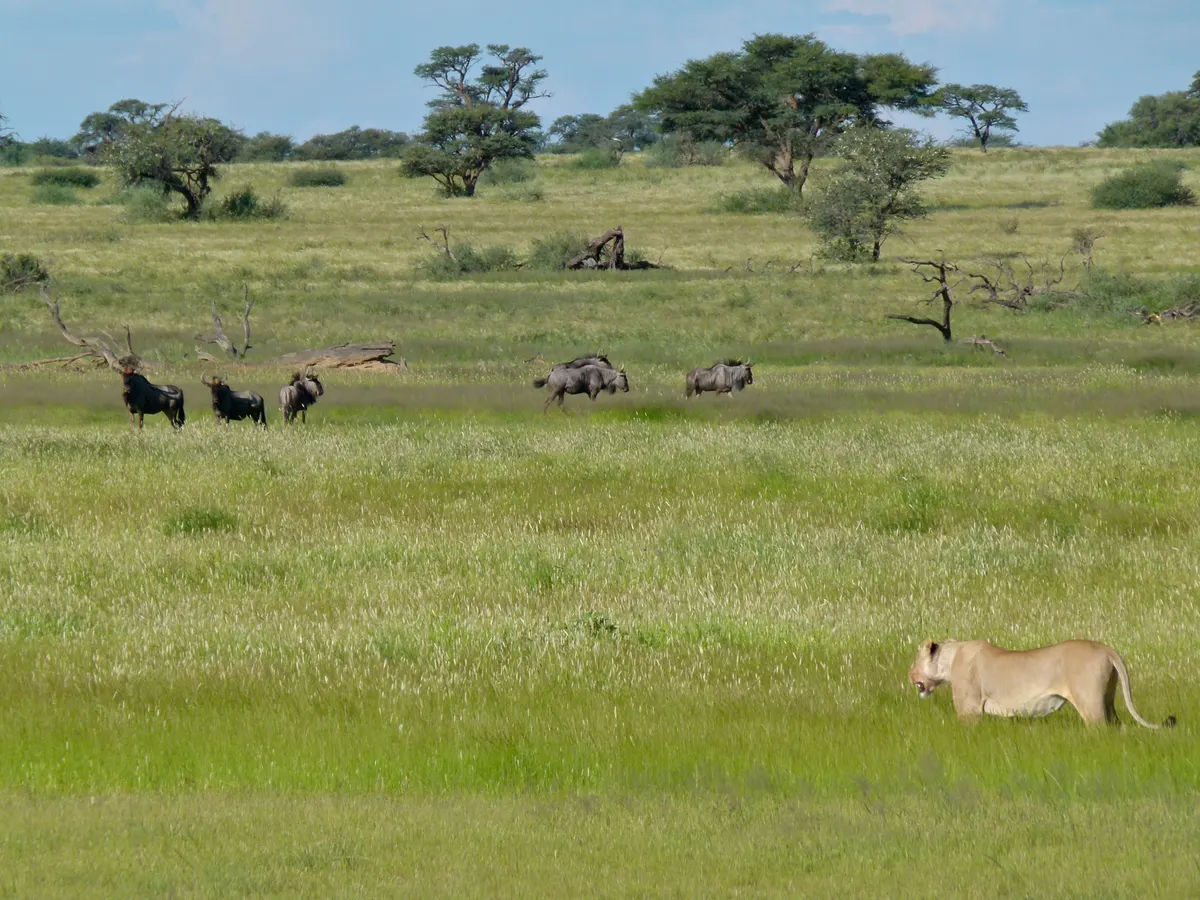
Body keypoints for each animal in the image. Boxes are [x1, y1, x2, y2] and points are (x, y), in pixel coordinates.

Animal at [908, 638, 1176, 728]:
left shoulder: (969, 710)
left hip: (1090, 703)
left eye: (914, 660)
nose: (909, 675)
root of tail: (1106, 648)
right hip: (1108, 699)